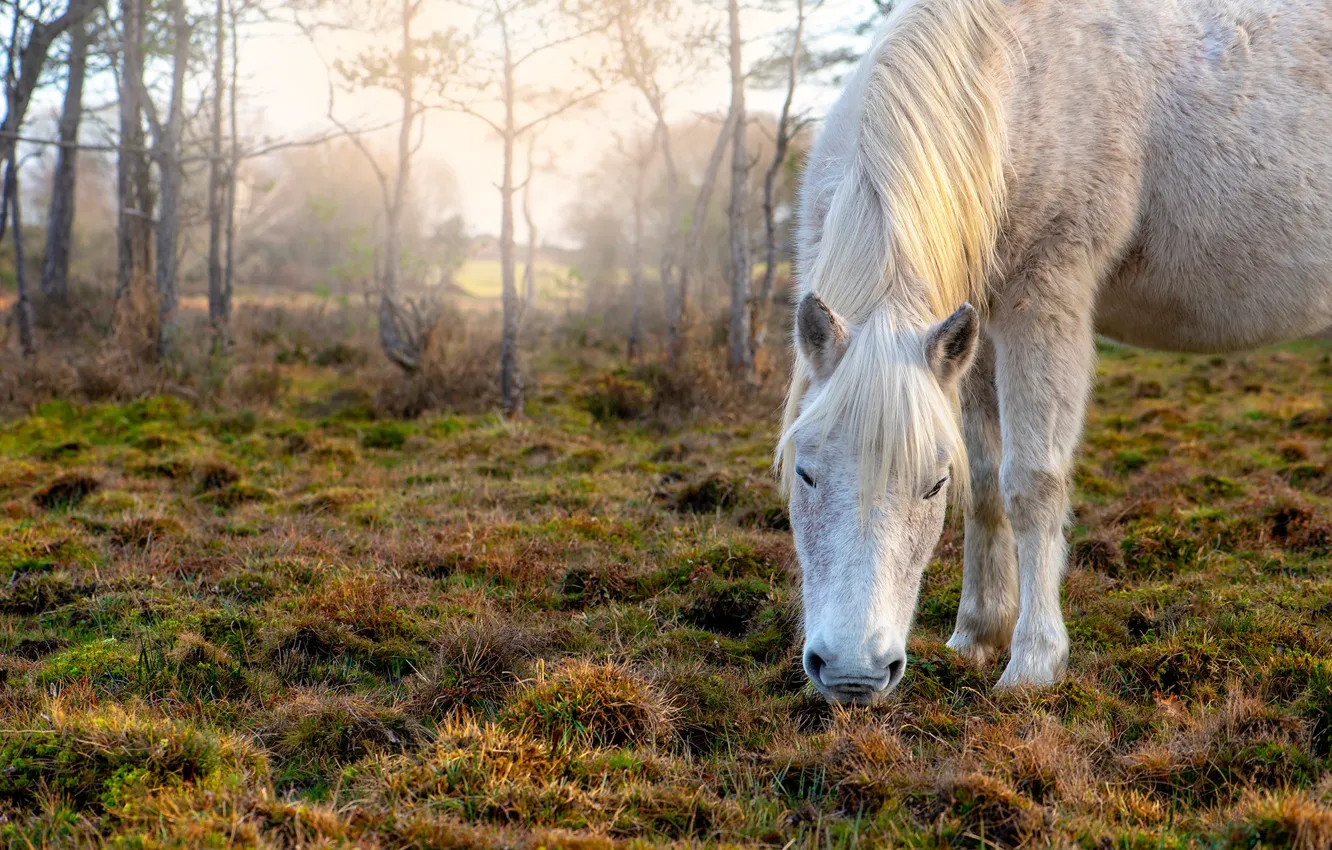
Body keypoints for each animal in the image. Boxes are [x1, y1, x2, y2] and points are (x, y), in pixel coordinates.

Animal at [778, 0, 1332, 705]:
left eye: (932, 486)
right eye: (805, 472)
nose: (854, 673)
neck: (1008, 75)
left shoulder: (1045, 300)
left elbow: (1031, 484)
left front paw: (1033, 665)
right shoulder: (974, 329)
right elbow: (987, 478)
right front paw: (976, 635)